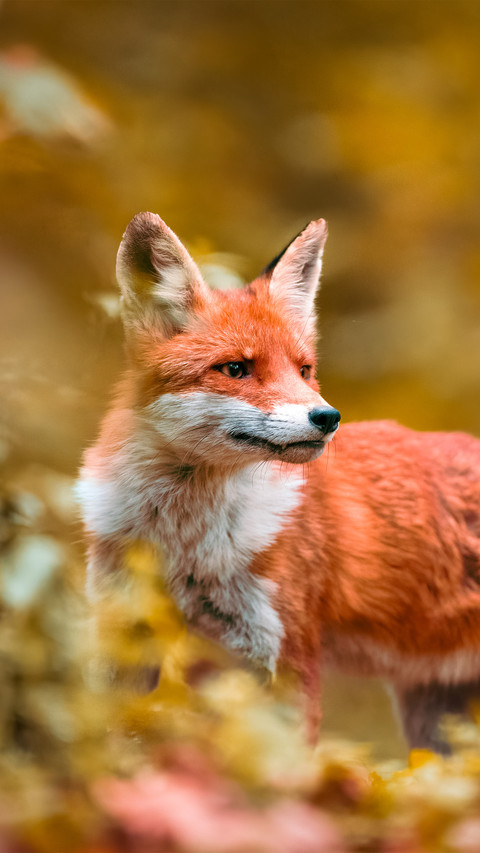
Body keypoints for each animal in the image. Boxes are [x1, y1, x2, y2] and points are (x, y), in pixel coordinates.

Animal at [78, 212, 480, 753]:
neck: (186, 543)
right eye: (236, 368)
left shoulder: (285, 649)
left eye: (304, 370)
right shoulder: (131, 634)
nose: (327, 418)